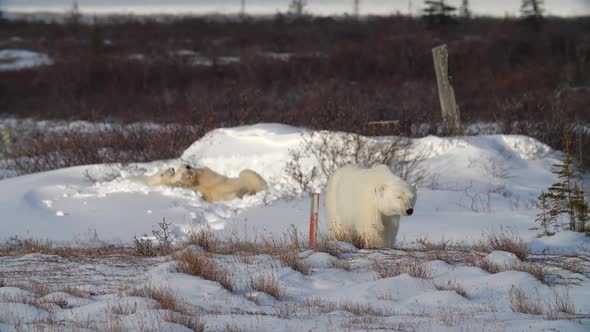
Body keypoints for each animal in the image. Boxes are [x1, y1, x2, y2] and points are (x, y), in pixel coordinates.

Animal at [139, 165, 268, 204]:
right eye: (180, 170)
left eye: (185, 166)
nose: (188, 166)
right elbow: (205, 195)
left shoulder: (207, 176)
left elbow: (207, 174)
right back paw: (243, 193)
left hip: (247, 177)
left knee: (246, 174)